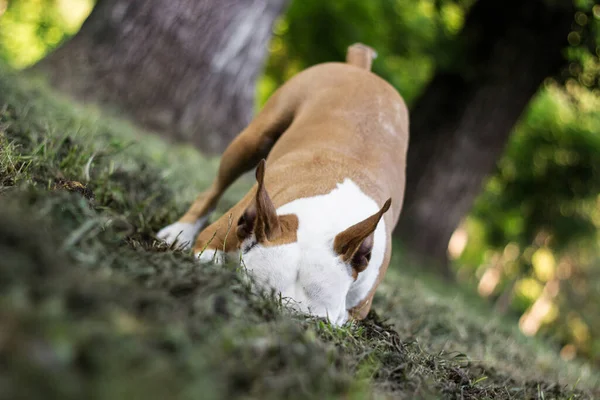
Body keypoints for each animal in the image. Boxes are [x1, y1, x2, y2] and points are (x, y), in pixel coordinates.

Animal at [157, 43, 410, 324]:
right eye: (250, 293)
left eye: (319, 324)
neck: (324, 220)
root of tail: (361, 70)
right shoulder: (212, 240)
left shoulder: (357, 310)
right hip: (254, 139)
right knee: (213, 190)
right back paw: (179, 231)